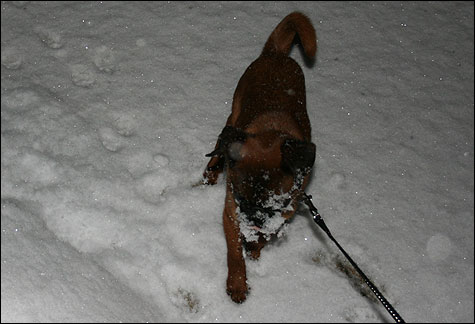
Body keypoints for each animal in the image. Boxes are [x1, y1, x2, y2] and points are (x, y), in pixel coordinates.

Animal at [204, 10, 316, 304]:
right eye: (242, 198)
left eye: (273, 205)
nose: (253, 220)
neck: (270, 133)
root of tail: (276, 53)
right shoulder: (231, 212)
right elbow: (234, 253)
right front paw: (237, 283)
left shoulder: (285, 212)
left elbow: (265, 237)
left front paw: (254, 249)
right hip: (233, 113)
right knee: (220, 143)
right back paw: (211, 170)